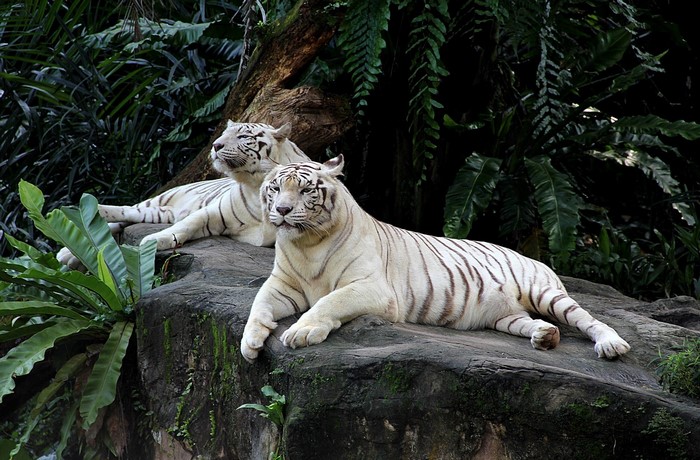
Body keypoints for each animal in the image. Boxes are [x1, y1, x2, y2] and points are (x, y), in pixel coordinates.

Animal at [57, 121, 309, 269]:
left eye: (243, 137)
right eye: (224, 134)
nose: (215, 145)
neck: (254, 183)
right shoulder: (215, 212)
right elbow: (189, 223)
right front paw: (153, 241)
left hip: (157, 213)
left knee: (126, 217)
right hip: (158, 200)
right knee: (124, 211)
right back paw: (77, 213)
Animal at [240, 155, 631, 362]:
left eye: (306, 189)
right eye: (276, 187)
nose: (282, 210)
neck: (306, 244)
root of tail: (536, 258)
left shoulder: (372, 288)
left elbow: (329, 302)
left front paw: (301, 331)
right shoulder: (282, 283)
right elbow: (258, 303)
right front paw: (251, 343)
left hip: (545, 293)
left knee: (588, 319)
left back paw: (611, 345)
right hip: (505, 317)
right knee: (531, 324)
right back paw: (545, 336)